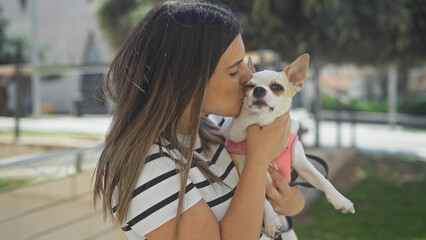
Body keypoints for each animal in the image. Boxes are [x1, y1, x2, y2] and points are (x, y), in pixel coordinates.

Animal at [221, 54, 354, 238]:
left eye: (277, 87)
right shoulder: (245, 171)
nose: (259, 90)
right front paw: (270, 221)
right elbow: (262, 200)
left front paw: (340, 199)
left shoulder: (302, 165)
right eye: (248, 86)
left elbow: (322, 179)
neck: (262, 124)